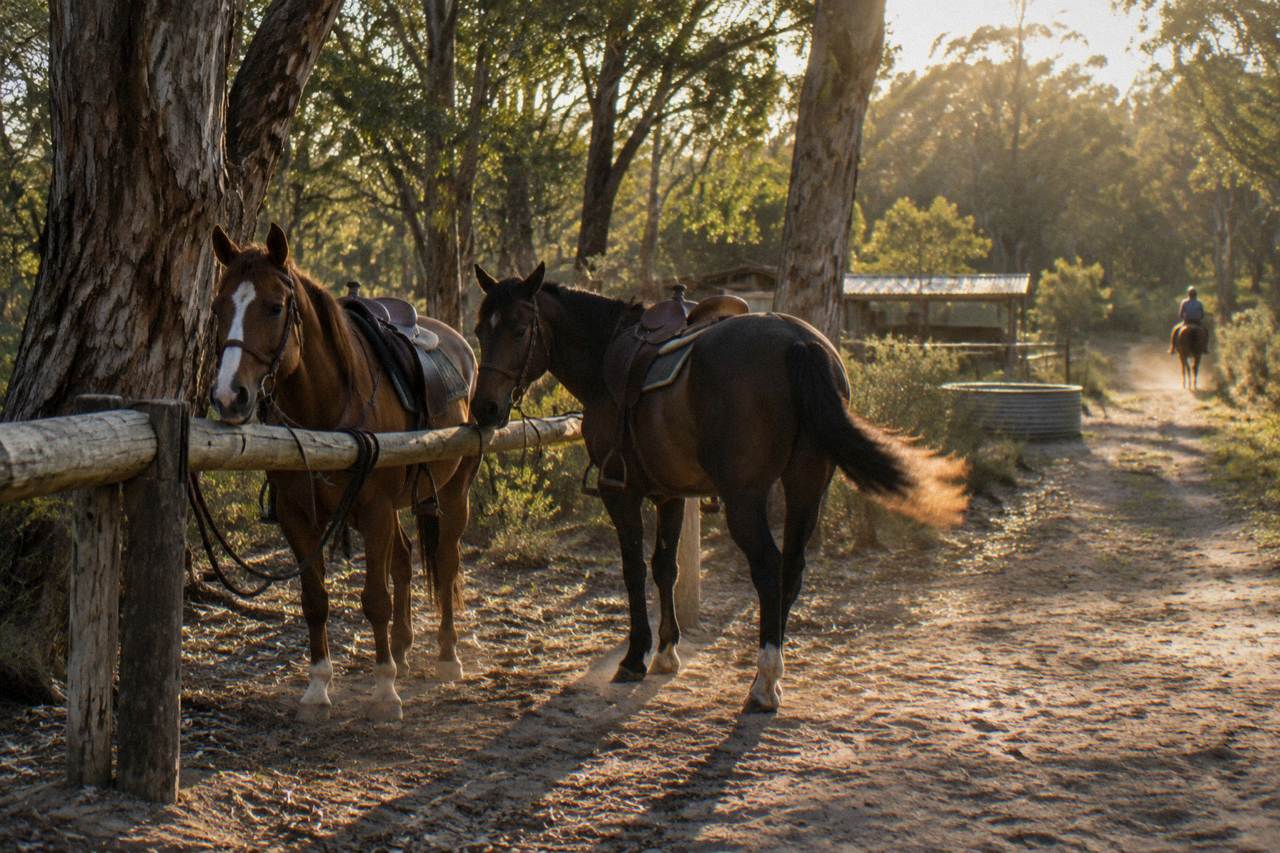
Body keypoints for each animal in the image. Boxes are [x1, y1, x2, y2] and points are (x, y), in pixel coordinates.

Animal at [208, 223, 478, 722]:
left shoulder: (374, 509)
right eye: (219, 307)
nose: (229, 396)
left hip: (453, 491)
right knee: (404, 558)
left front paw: (385, 690)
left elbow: (374, 599)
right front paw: (318, 688)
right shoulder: (298, 516)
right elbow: (315, 601)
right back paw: (402, 649)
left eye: (275, 307)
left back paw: (447, 655)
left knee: (447, 560)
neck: (327, 407)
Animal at [469, 264, 968, 713]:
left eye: (519, 330)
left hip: (744, 499)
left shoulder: (622, 493)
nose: (485, 408)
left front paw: (635, 656)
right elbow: (665, 567)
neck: (607, 356)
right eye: (479, 330)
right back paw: (774, 670)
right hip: (807, 485)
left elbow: (633, 569)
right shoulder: (669, 493)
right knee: (792, 568)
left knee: (768, 568)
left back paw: (764, 683)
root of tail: (800, 342)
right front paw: (667, 652)